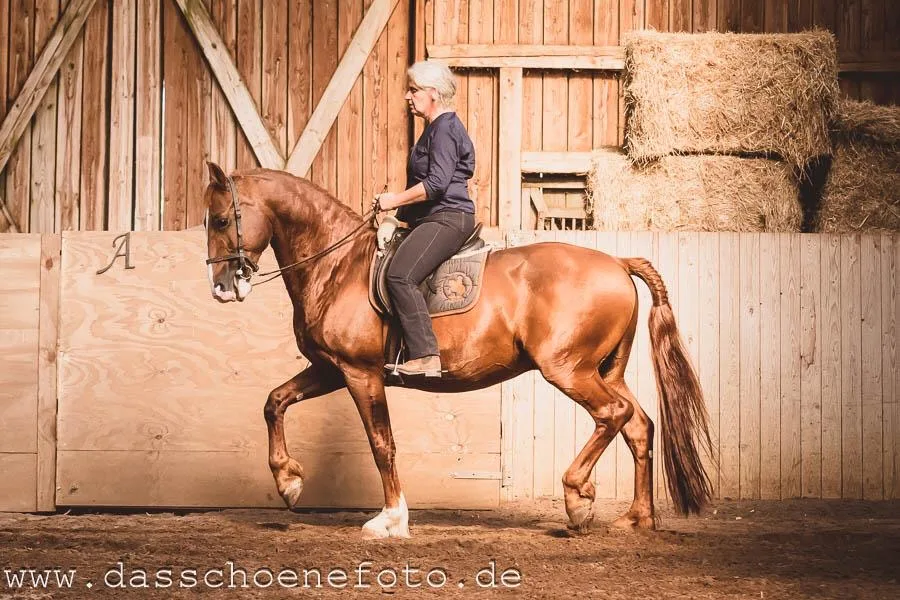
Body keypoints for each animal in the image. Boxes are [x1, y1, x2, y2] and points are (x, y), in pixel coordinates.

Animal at [202, 162, 712, 539]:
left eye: (223, 219)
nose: (221, 288)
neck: (337, 264)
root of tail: (618, 262)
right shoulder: (330, 369)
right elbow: (274, 402)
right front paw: (288, 480)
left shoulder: (360, 373)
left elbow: (382, 443)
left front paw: (391, 520)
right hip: (606, 370)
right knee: (639, 426)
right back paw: (636, 518)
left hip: (568, 370)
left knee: (613, 415)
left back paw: (576, 498)